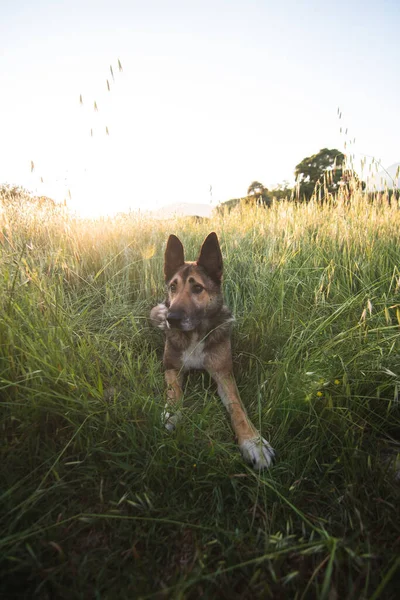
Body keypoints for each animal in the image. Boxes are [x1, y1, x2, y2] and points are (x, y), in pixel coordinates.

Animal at [151, 232, 276, 472]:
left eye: (197, 288)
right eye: (173, 287)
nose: (172, 319)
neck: (195, 333)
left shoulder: (223, 375)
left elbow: (237, 409)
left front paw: (253, 442)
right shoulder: (171, 367)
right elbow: (174, 391)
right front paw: (171, 413)